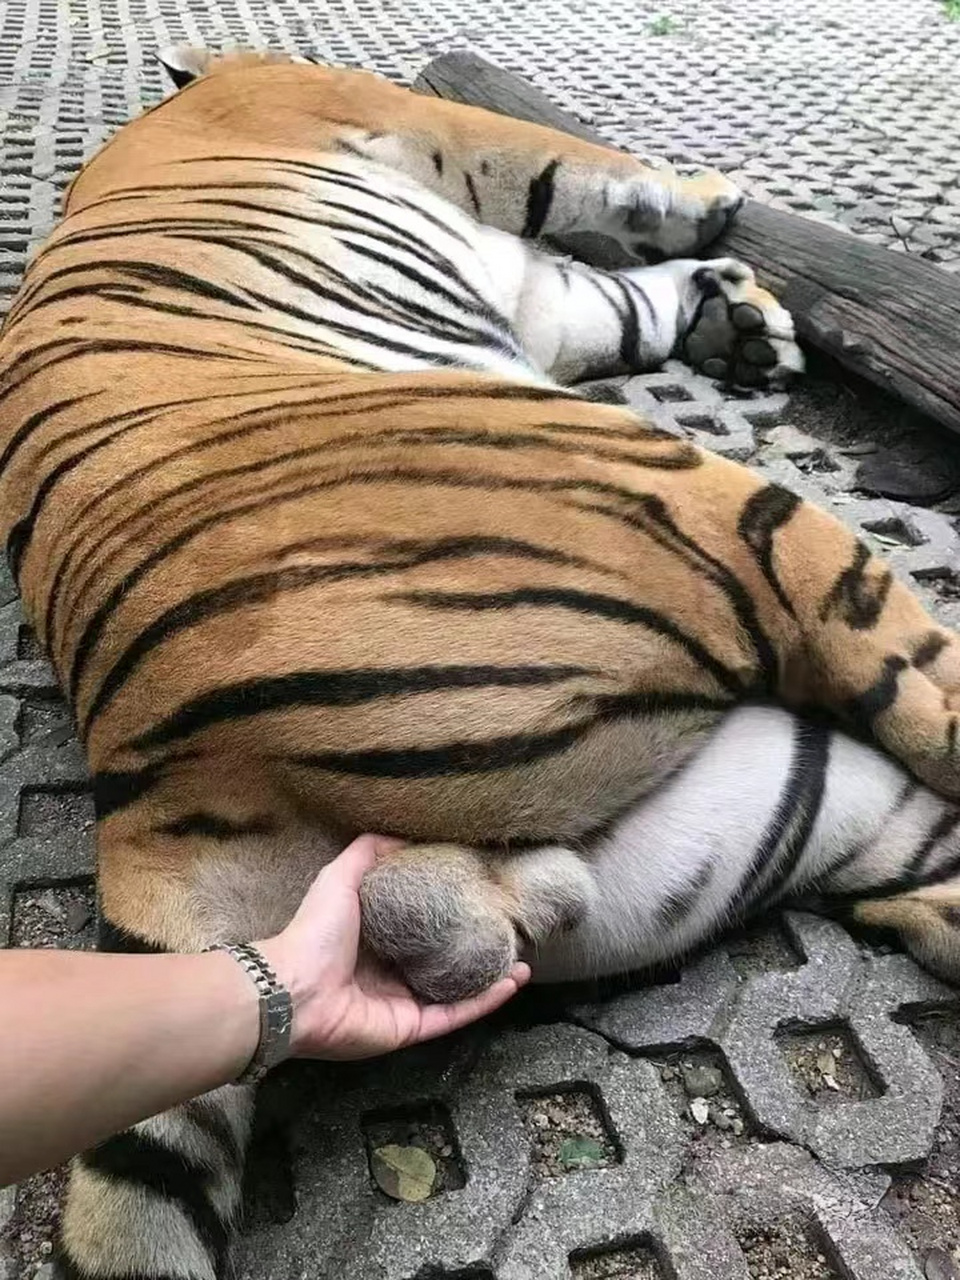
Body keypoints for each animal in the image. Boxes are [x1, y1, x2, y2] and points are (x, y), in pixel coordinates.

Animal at [1, 43, 960, 1280]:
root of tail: (146, 769)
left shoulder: (550, 299)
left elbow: (625, 296)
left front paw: (736, 316)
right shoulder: (435, 130)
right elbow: (595, 174)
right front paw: (718, 214)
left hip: (780, 805)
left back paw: (482, 904)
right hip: (719, 511)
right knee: (923, 689)